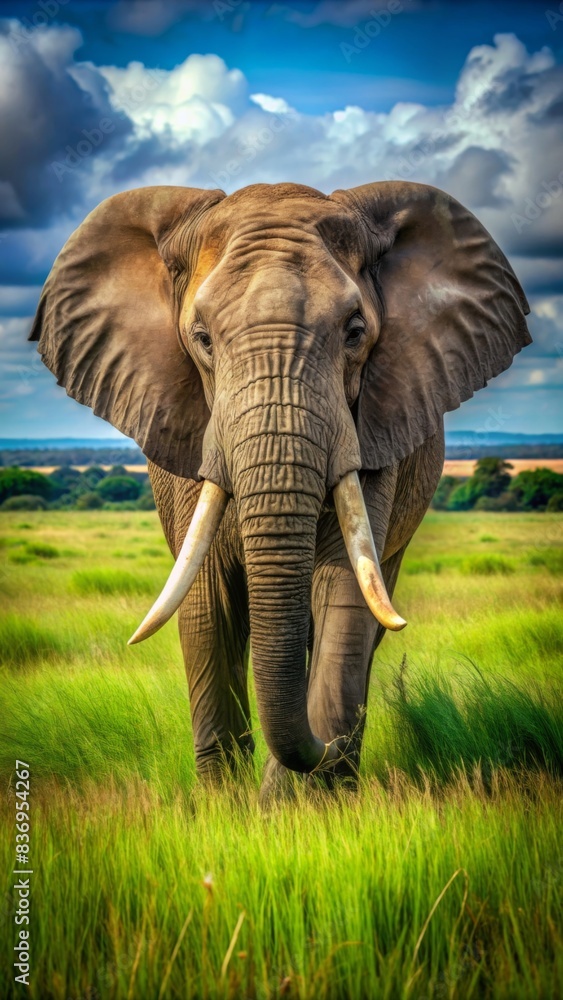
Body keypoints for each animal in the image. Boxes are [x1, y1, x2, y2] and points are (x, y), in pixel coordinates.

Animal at [31, 181, 530, 795]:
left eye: (355, 332)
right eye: (201, 339)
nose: (321, 750)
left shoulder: (375, 425)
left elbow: (344, 592)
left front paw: (297, 802)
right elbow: (205, 602)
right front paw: (222, 805)